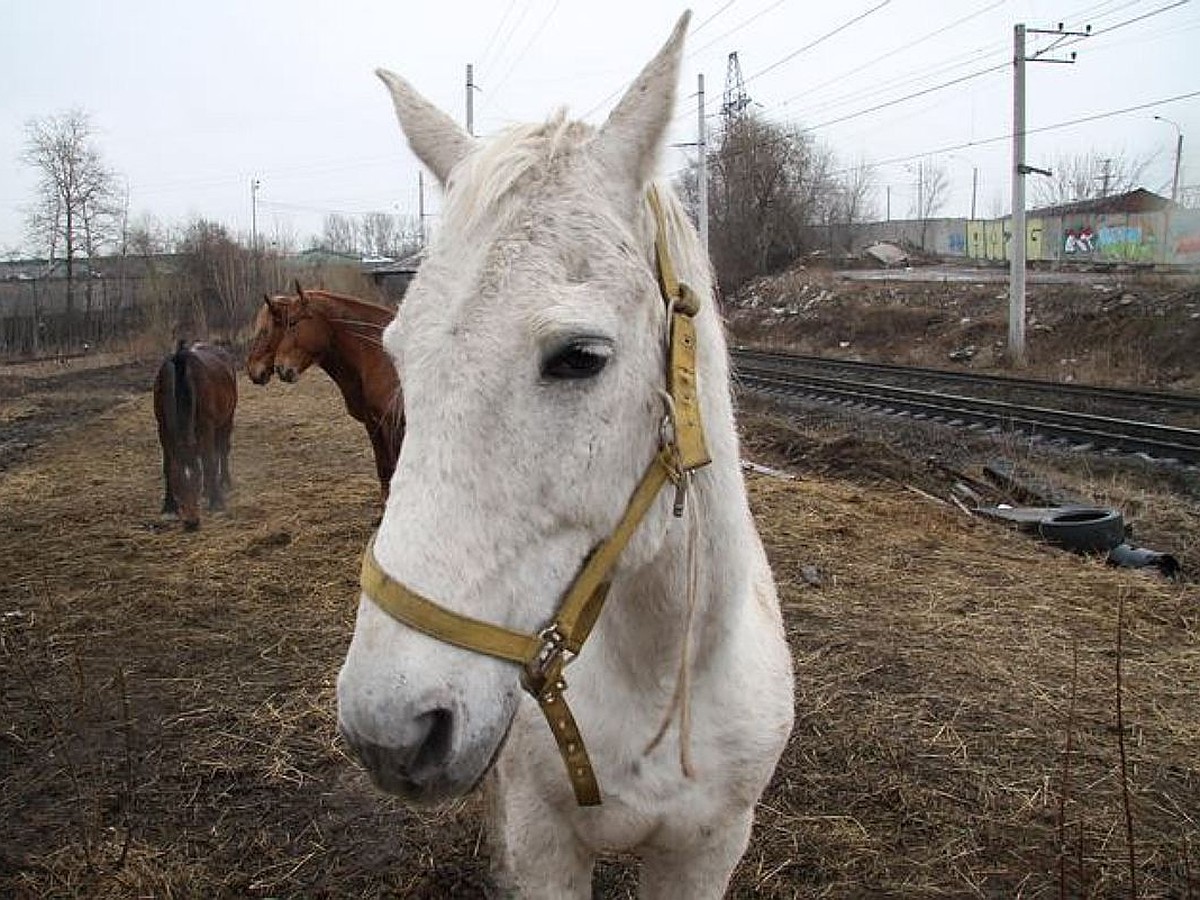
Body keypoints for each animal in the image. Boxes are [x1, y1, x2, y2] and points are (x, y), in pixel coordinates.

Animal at [153, 340, 237, 532]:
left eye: (195, 482)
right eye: (177, 484)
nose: (192, 522)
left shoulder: (207, 427)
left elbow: (209, 462)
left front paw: (216, 502)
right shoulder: (163, 429)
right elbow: (168, 466)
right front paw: (169, 506)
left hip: (227, 419)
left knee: (222, 451)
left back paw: (224, 481)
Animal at [272, 285, 403, 504]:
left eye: (294, 322)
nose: (280, 368)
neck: (383, 356)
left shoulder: (391, 424)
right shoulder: (375, 423)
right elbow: (384, 466)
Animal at [336, 10, 796, 897]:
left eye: (580, 357)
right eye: (400, 355)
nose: (389, 732)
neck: (661, 678)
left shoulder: (708, 849)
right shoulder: (546, 841)